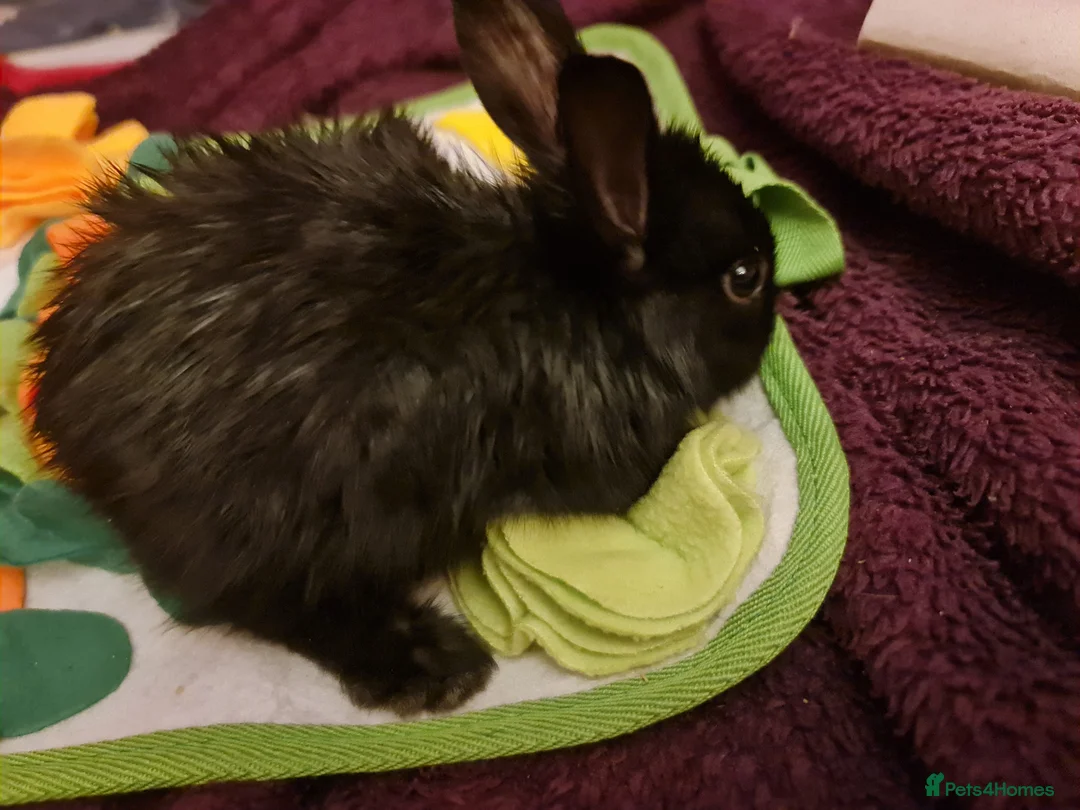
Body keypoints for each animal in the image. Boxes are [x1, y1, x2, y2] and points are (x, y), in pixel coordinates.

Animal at [27, 0, 778, 716]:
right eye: (745, 278)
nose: (775, 323)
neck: (582, 294)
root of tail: (71, 423)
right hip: (309, 519)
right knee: (265, 603)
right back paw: (434, 665)